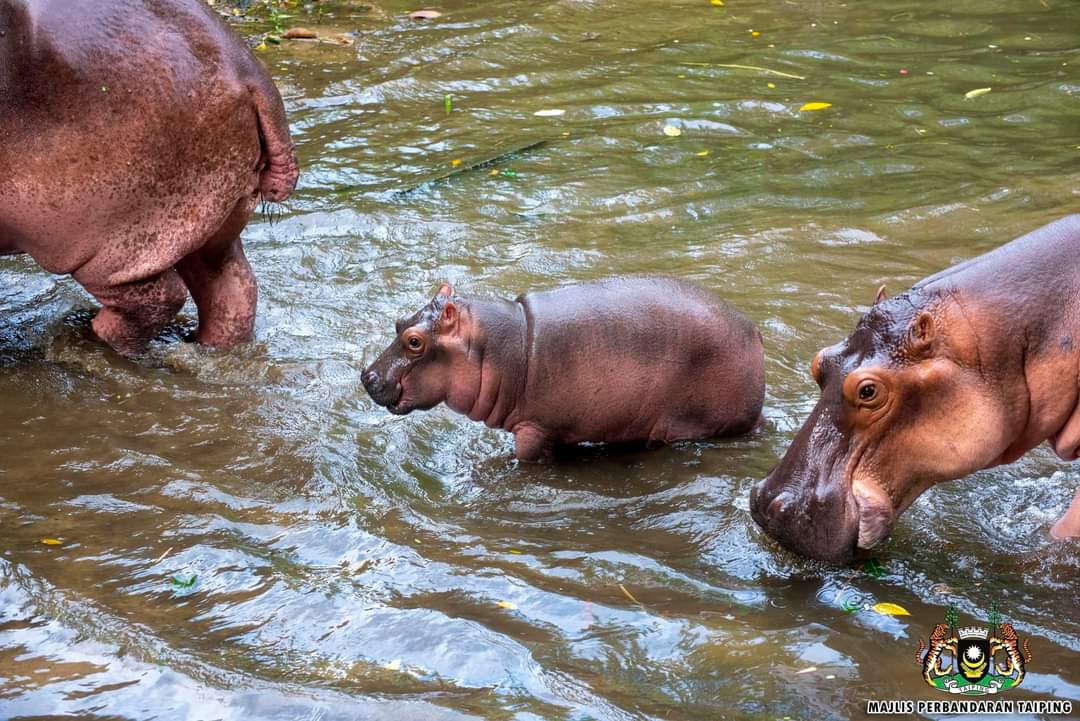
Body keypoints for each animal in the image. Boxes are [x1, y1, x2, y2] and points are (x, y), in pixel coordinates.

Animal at [0, 0, 299, 356]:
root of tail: (249, 72)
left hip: (98, 242)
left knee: (158, 300)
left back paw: (83, 336)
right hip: (208, 218)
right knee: (232, 288)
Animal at [362, 277, 765, 462]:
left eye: (415, 341)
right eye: (399, 321)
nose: (366, 376)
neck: (510, 342)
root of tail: (753, 330)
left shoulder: (535, 429)